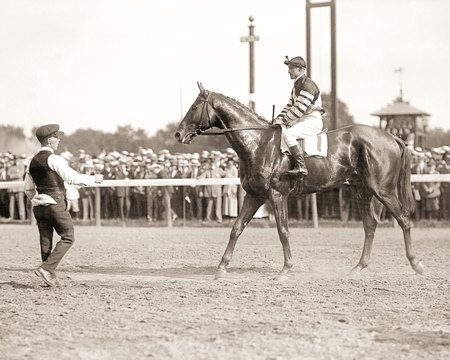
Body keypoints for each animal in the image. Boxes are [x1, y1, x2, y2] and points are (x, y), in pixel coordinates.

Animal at [174, 83, 424, 280]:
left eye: (194, 107)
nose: (178, 134)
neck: (259, 143)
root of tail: (391, 137)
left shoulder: (277, 195)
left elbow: (283, 231)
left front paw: (285, 269)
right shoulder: (254, 195)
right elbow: (236, 229)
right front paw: (221, 267)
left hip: (383, 190)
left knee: (404, 220)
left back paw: (416, 264)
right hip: (362, 191)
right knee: (370, 226)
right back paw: (359, 267)